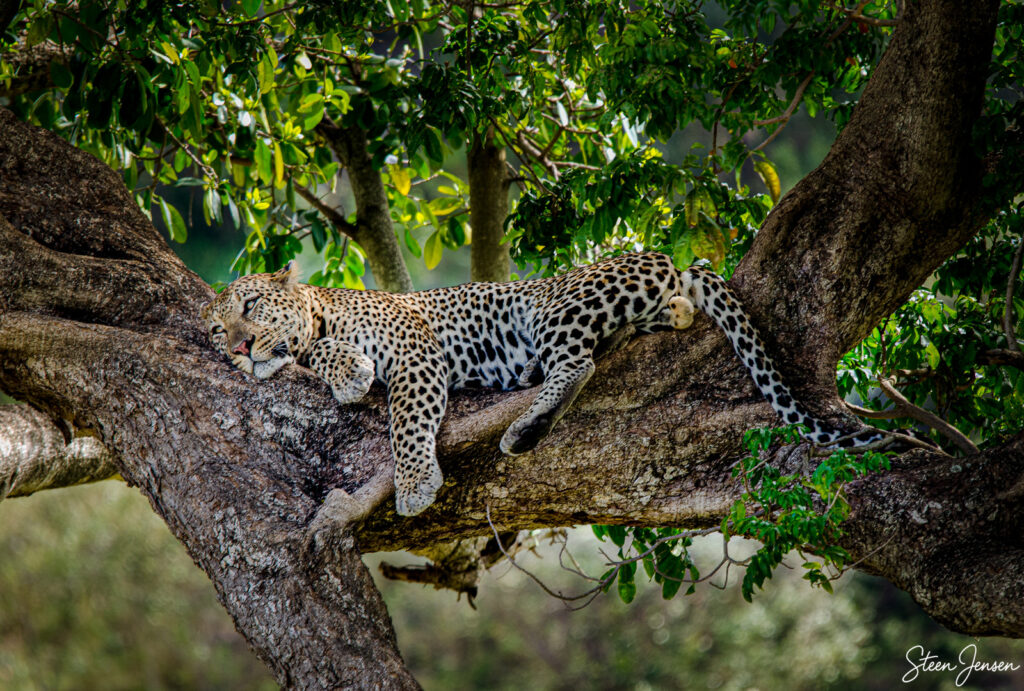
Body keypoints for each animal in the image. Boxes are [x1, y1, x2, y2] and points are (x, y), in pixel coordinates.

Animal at [201, 251, 882, 519]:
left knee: (576, 364)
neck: (323, 316)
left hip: (554, 306)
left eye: (252, 305)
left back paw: (525, 429)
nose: (237, 346)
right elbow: (322, 356)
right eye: (215, 327)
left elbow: (406, 424)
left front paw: (415, 486)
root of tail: (668, 259)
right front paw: (342, 372)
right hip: (624, 311)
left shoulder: (416, 353)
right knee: (665, 320)